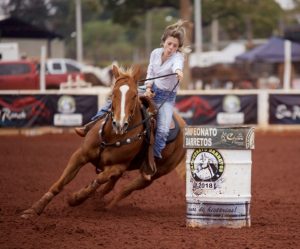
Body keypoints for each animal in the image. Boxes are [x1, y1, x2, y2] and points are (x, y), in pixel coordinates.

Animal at [21, 64, 186, 218]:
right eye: (113, 93)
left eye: (134, 95)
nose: (120, 124)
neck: (113, 136)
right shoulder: (80, 155)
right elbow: (59, 184)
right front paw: (34, 209)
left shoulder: (118, 167)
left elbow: (99, 179)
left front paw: (76, 198)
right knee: (111, 186)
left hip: (155, 174)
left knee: (126, 189)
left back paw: (105, 206)